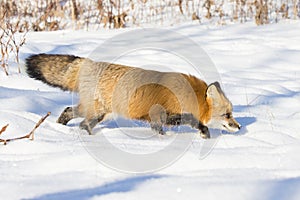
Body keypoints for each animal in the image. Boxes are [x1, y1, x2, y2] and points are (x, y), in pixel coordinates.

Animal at [25, 54, 241, 138]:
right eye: (227, 115)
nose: (239, 127)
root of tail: (89, 63)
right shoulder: (162, 114)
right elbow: (192, 121)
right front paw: (204, 133)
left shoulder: (158, 118)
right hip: (98, 112)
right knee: (83, 123)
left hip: (100, 112)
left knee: (69, 112)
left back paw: (60, 127)